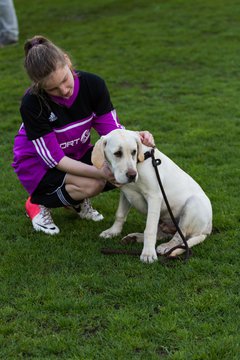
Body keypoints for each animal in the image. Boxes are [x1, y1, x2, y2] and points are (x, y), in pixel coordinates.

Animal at [91, 129, 212, 262]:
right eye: (117, 153)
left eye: (134, 152)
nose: (132, 175)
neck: (138, 163)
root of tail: (208, 229)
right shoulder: (126, 193)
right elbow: (120, 214)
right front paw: (113, 232)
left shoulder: (154, 197)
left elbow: (150, 229)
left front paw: (148, 253)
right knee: (163, 234)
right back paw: (135, 237)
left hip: (192, 205)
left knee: (180, 236)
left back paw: (166, 246)